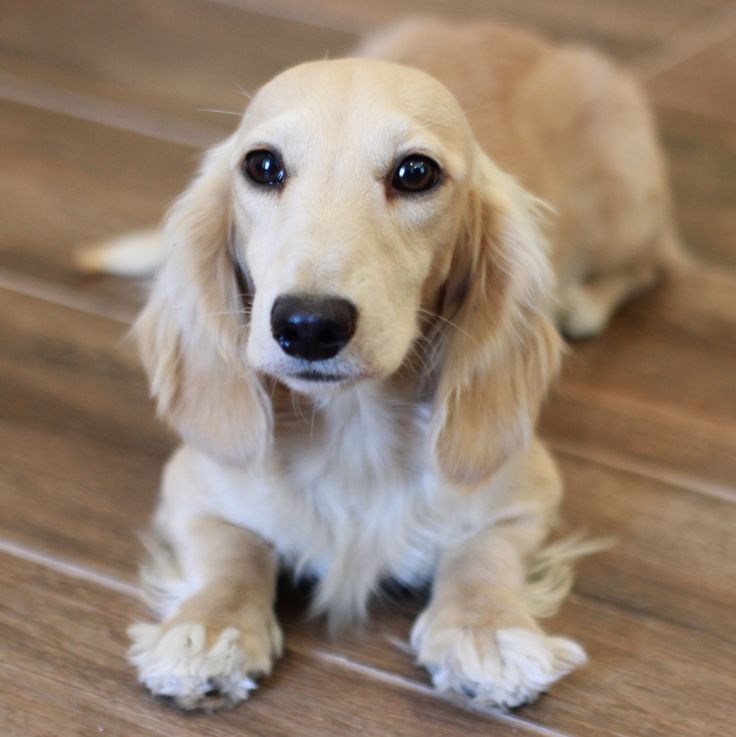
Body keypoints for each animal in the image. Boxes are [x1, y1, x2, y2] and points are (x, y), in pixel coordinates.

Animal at [85, 21, 684, 712]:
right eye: (262, 164)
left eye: (416, 172)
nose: (308, 325)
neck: (355, 429)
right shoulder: (193, 488)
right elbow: (233, 549)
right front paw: (210, 629)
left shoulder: (528, 494)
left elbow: (481, 553)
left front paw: (487, 631)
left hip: (630, 204)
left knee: (652, 263)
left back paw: (584, 303)